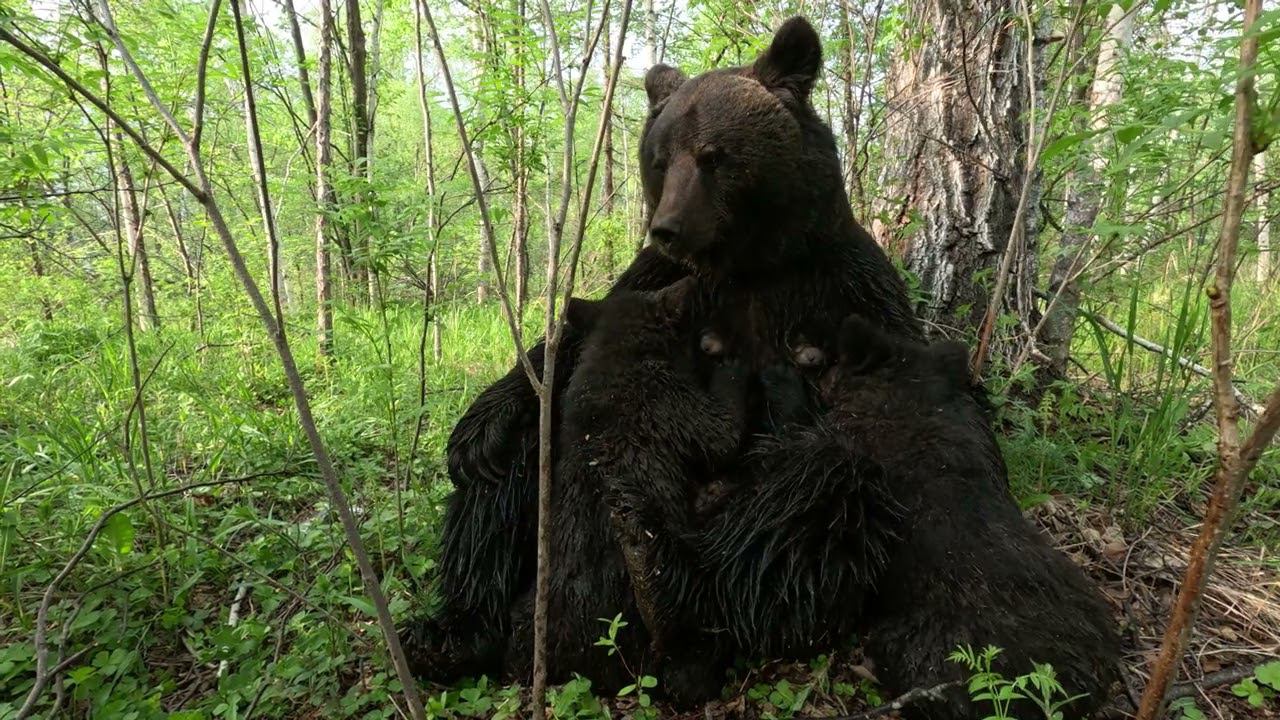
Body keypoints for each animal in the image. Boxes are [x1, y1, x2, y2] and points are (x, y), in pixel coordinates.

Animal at [399, 16, 921, 686]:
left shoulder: (842, 286)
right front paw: (479, 428)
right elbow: (563, 349)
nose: (668, 226)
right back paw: (454, 630)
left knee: (816, 495)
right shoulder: (655, 279)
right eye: (659, 157)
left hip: (744, 518)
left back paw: (693, 612)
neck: (750, 264)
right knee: (511, 471)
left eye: (714, 156)